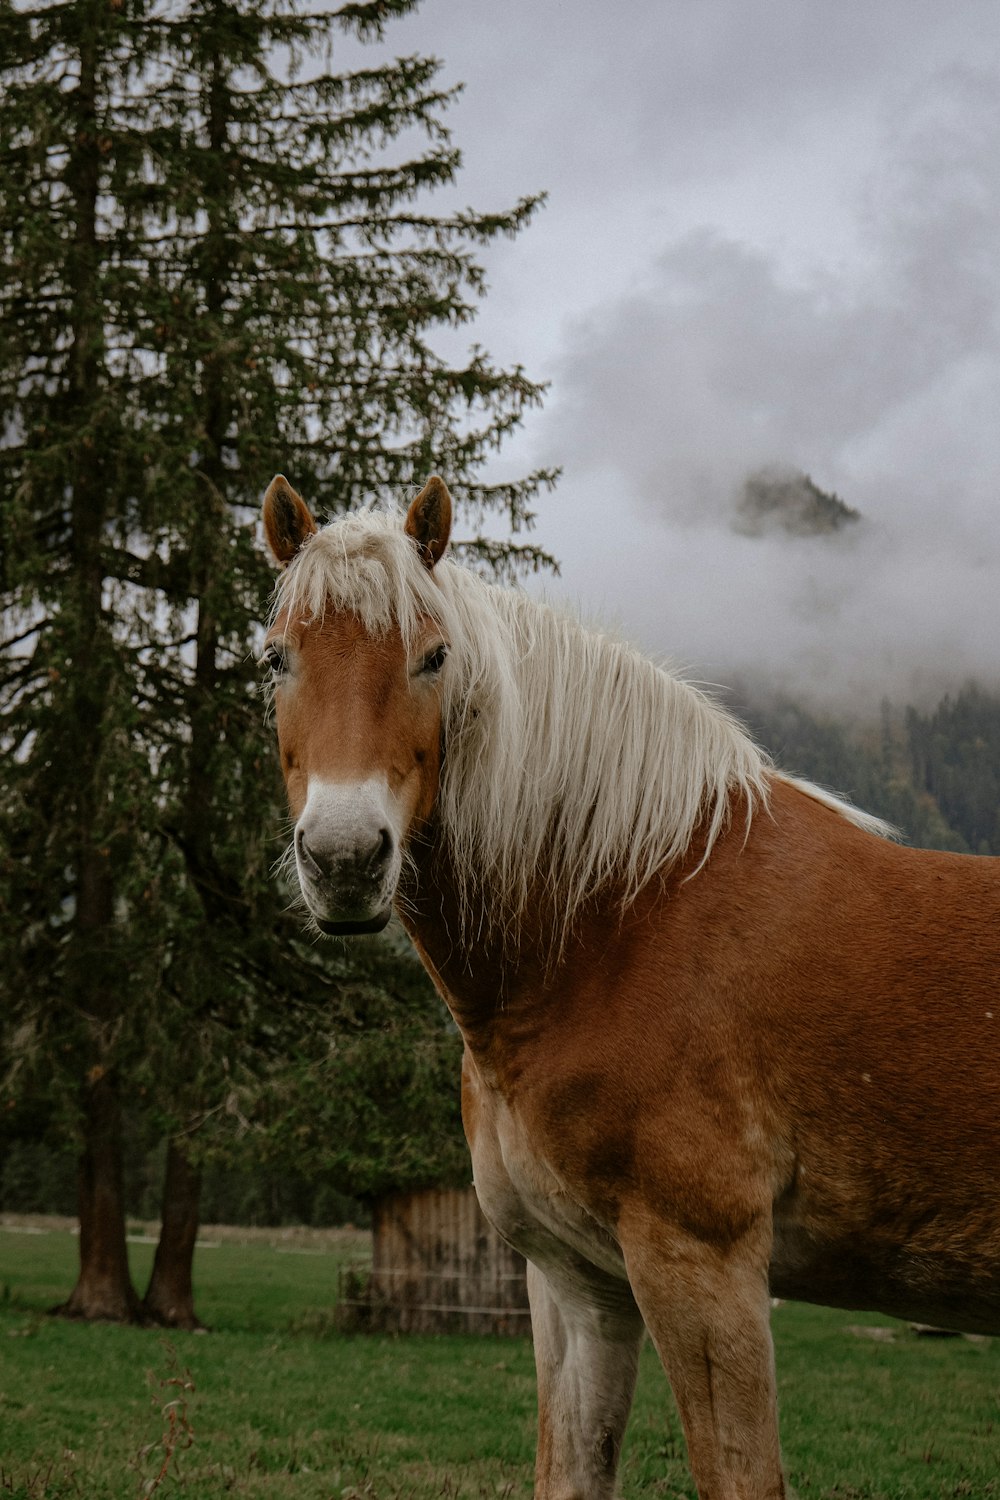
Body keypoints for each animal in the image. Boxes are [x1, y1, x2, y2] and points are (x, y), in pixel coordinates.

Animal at [260, 471, 1000, 1500]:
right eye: (276, 659)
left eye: (434, 657)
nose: (342, 860)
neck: (623, 922)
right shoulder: (579, 1282)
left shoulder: (702, 1267)